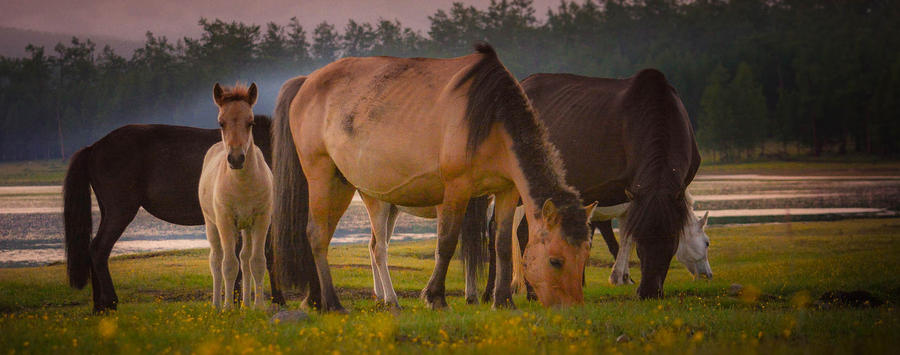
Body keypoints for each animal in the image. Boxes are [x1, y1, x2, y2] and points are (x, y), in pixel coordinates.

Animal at [63, 115, 296, 312]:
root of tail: (93, 148)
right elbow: (267, 255)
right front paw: (277, 299)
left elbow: (239, 256)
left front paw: (237, 299)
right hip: (120, 211)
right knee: (99, 250)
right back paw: (111, 302)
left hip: (108, 210)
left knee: (93, 249)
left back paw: (98, 305)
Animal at [201, 82, 274, 308]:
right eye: (221, 123)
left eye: (250, 122)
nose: (235, 159)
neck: (242, 186)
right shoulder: (225, 221)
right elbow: (228, 265)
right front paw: (227, 308)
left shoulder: (261, 220)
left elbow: (256, 262)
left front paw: (258, 307)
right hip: (212, 224)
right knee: (216, 260)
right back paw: (217, 305)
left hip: (246, 228)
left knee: (245, 258)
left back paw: (246, 305)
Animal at [472, 71, 704, 302]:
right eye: (640, 238)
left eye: (673, 237)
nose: (648, 292)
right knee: (496, 228)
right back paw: (490, 292)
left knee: (522, 232)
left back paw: (531, 292)